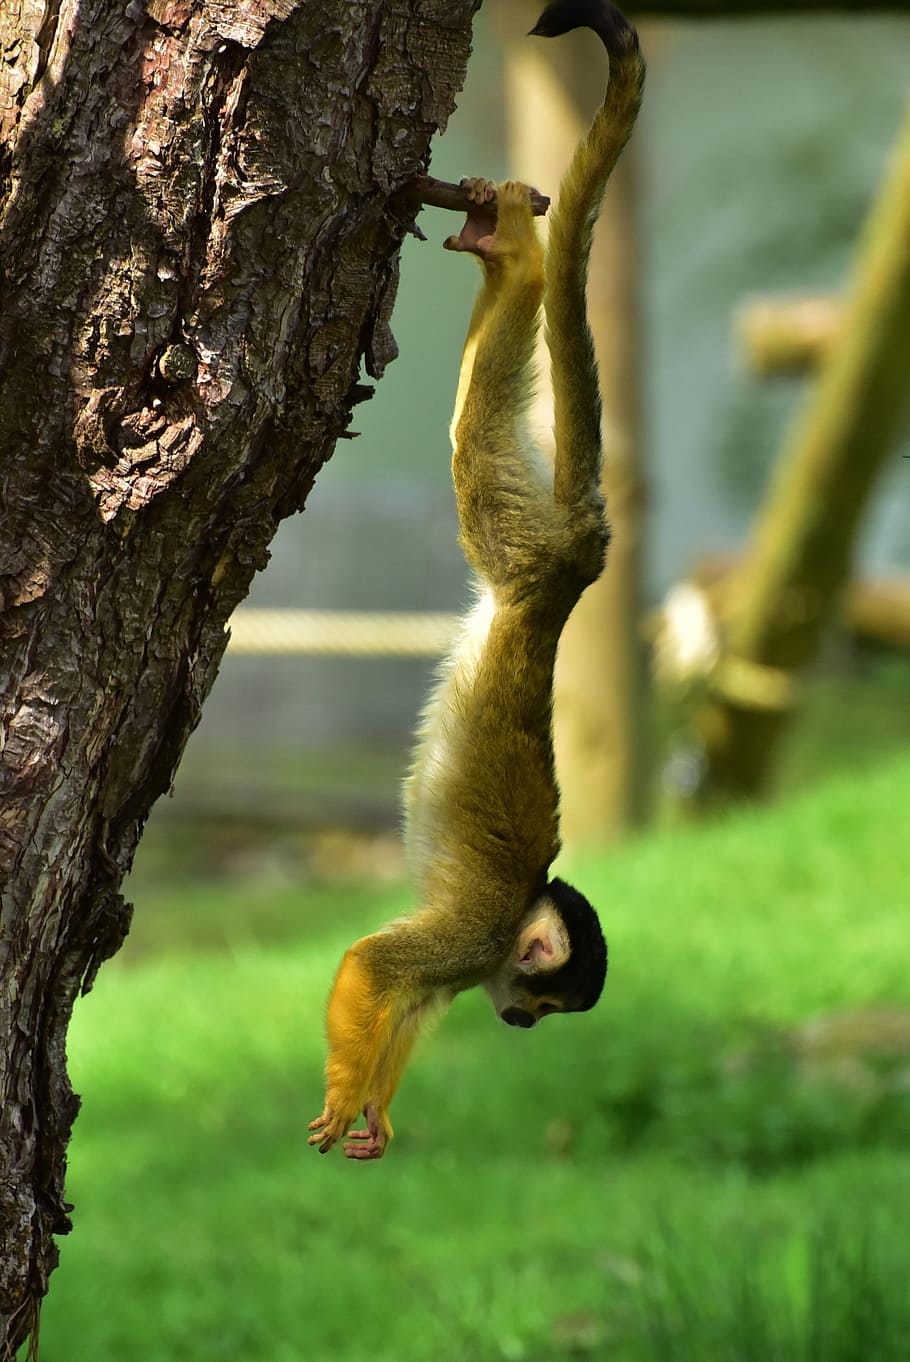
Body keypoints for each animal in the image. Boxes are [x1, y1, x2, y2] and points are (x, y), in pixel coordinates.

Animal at [308, 0, 644, 1161]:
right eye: (541, 1000)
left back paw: (515, 268)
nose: (520, 1025)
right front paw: (339, 1098)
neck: (510, 931)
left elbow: (405, 998)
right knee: (479, 445)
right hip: (517, 539)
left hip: (529, 552)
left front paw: (373, 1112)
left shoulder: (463, 965)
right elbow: (375, 963)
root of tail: (575, 561)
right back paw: (518, 263)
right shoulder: (475, 935)